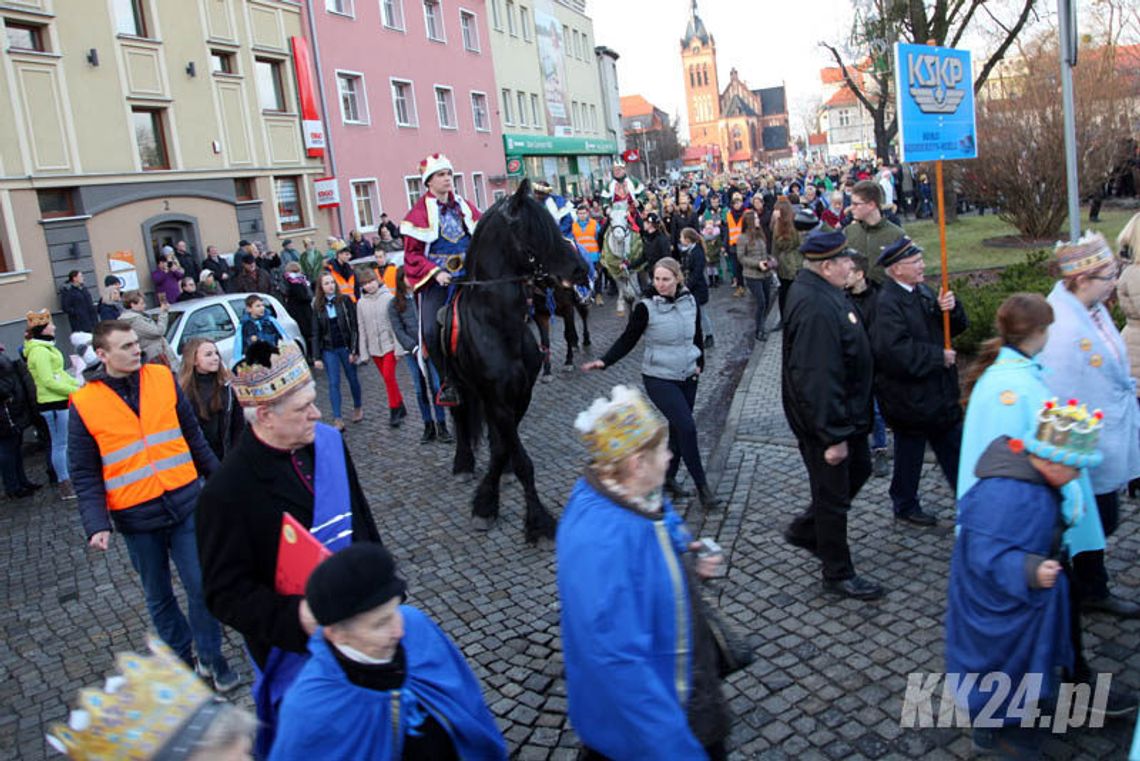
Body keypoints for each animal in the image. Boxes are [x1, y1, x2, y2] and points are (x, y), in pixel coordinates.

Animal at [440, 182, 588, 544]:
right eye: (534, 229)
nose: (580, 270)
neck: (496, 323)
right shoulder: (498, 400)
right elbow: (520, 460)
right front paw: (537, 520)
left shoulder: (520, 396)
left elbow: (503, 451)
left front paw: (487, 499)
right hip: (454, 382)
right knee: (460, 417)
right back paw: (463, 463)